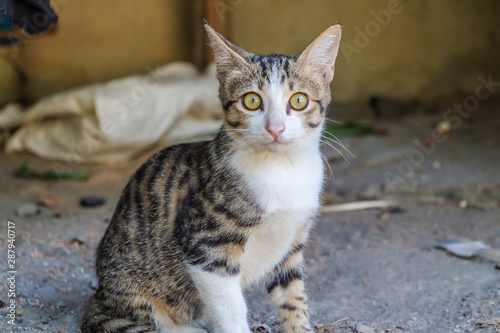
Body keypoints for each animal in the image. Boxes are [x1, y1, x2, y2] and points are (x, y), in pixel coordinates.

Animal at [81, 20, 340, 332]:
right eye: (252, 101)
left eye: (299, 100)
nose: (275, 127)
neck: (282, 169)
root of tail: (101, 296)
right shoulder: (205, 245)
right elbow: (229, 308)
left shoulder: (290, 247)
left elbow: (293, 297)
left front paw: (299, 323)